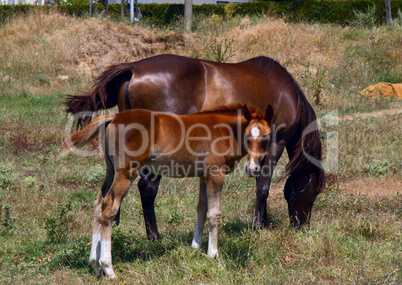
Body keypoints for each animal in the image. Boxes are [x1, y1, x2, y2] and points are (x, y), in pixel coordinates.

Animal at [64, 52, 326, 235]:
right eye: (314, 190)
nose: (302, 225)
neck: (288, 94)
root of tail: (134, 68)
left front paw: (263, 220)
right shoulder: (275, 143)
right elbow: (263, 185)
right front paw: (258, 225)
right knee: (147, 188)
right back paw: (154, 236)